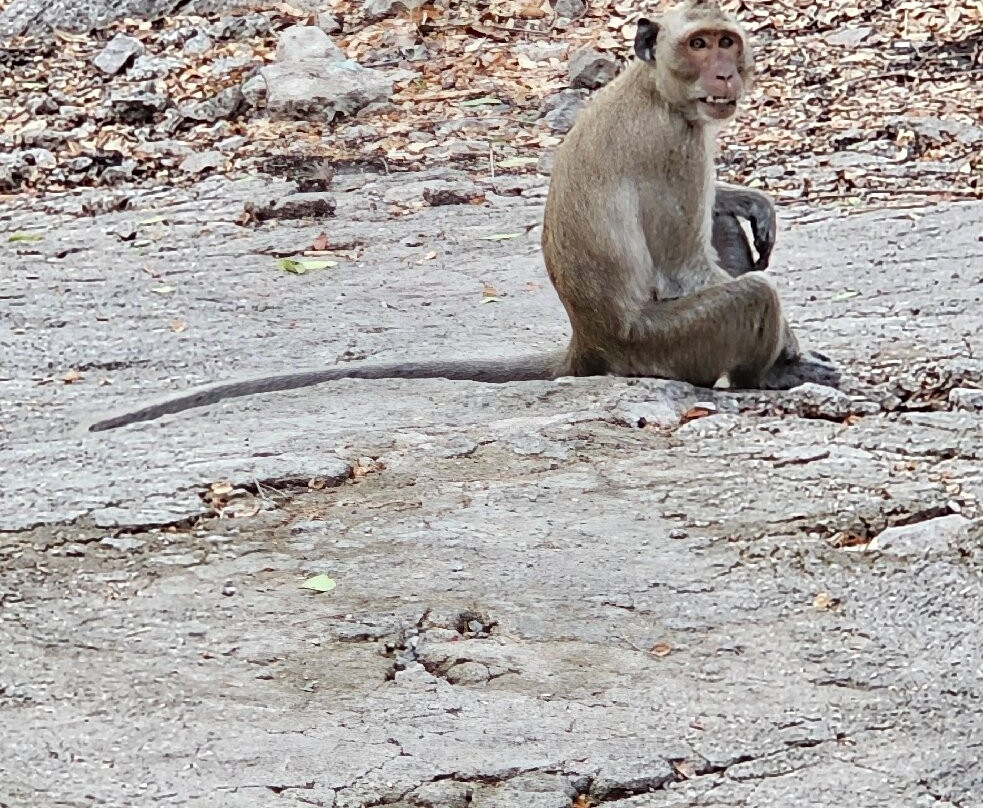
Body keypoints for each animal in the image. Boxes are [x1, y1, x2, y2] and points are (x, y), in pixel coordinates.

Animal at [87, 1, 836, 433]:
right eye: (698, 45)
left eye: (726, 42)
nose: (724, 74)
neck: (651, 86)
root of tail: (588, 342)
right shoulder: (675, 146)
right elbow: (685, 270)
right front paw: (790, 353)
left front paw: (746, 199)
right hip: (658, 349)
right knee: (747, 292)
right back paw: (765, 374)